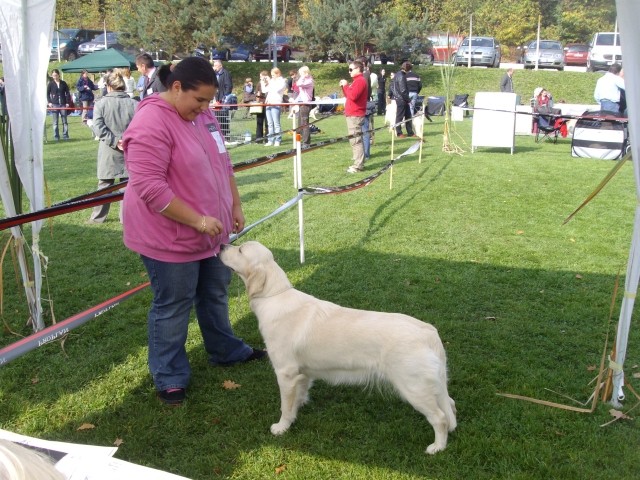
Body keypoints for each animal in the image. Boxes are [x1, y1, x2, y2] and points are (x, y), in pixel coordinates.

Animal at [219, 242, 456, 456]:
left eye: (240, 249)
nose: (221, 246)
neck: (275, 295)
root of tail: (429, 333)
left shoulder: (285, 372)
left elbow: (285, 406)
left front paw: (282, 427)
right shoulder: (302, 373)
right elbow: (299, 395)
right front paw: (298, 408)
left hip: (413, 387)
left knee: (440, 418)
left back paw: (437, 447)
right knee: (450, 405)